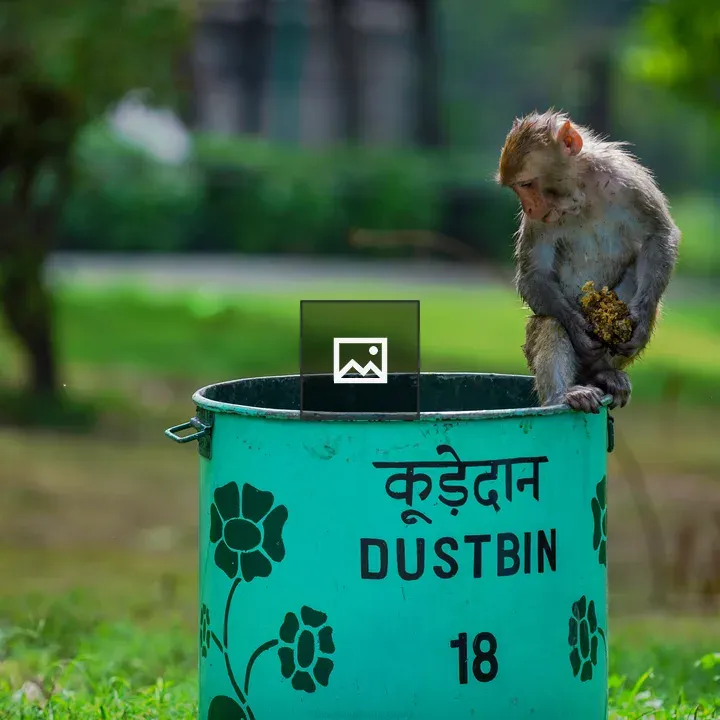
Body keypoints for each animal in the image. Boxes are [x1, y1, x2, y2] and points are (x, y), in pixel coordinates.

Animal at [496, 109, 680, 413]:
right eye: (517, 188)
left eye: (527, 184)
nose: (528, 207)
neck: (580, 192)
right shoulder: (539, 221)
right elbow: (534, 274)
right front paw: (578, 329)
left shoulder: (630, 181)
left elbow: (659, 235)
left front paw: (640, 321)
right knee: (550, 322)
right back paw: (563, 395)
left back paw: (603, 373)